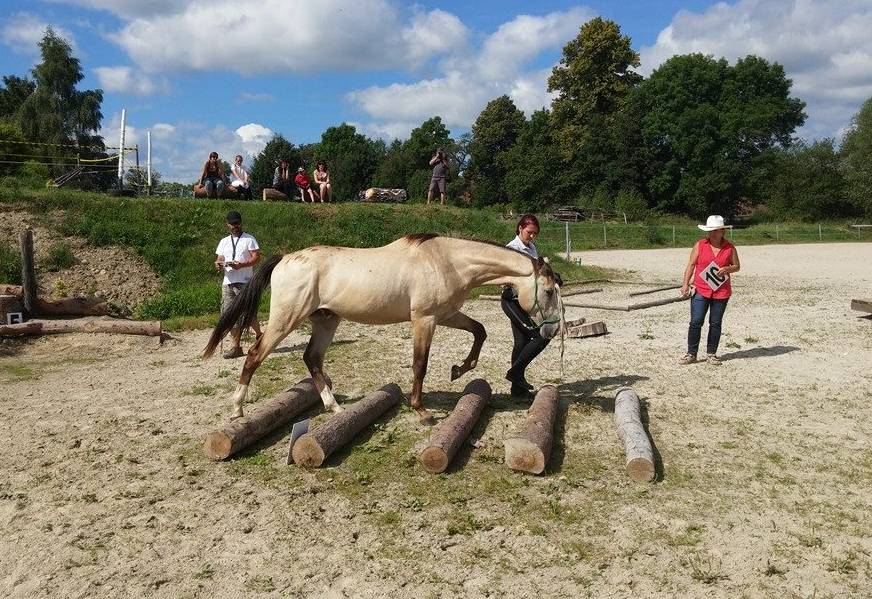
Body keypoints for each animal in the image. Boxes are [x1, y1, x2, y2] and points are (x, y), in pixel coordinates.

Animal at [202, 232, 564, 424]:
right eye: (548, 291)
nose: (549, 333)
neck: (448, 261)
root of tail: (285, 259)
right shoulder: (424, 319)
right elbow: (420, 365)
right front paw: (421, 410)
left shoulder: (446, 314)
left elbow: (480, 331)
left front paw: (459, 370)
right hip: (286, 319)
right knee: (254, 355)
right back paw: (237, 409)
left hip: (325, 320)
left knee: (312, 359)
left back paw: (334, 407)